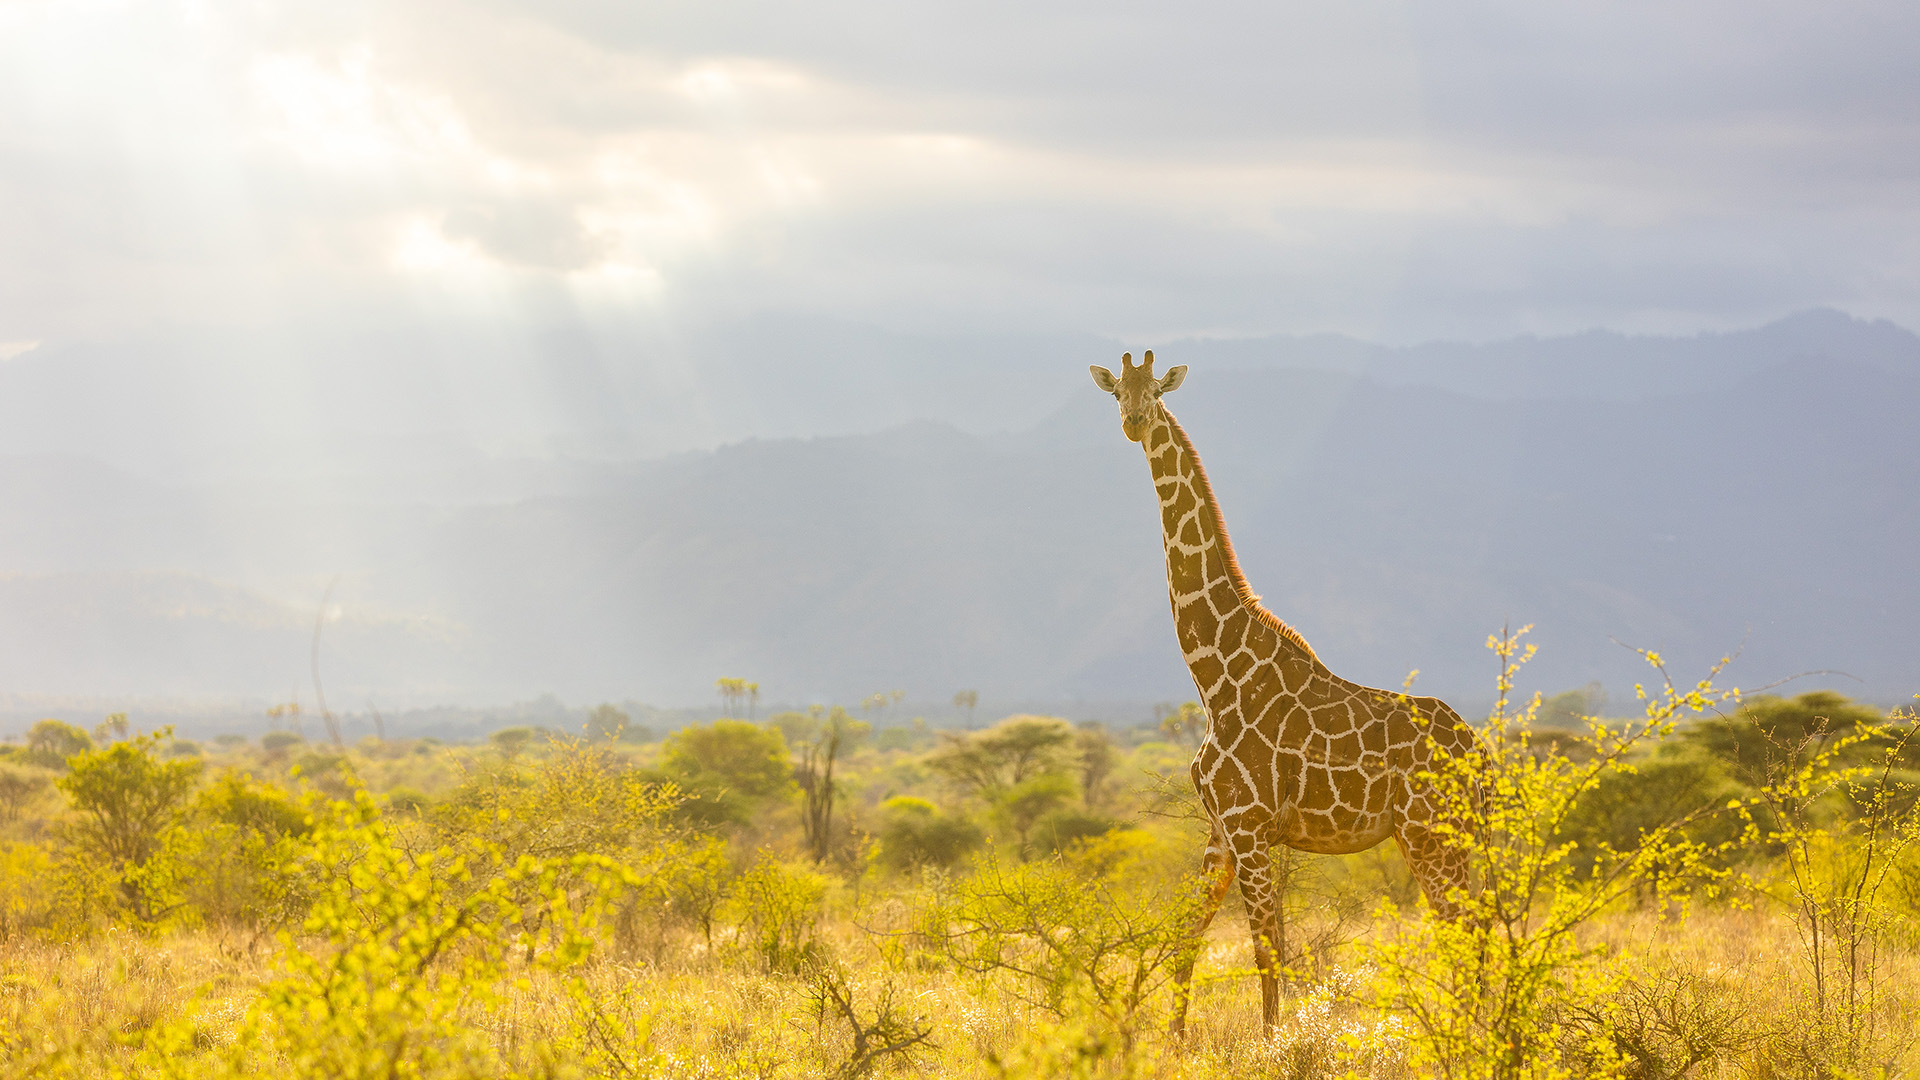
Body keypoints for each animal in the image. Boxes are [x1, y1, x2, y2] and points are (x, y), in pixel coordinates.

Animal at [1090, 351, 1474, 1022]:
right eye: (1117, 392)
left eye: (1155, 392)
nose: (1134, 423)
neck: (1214, 678)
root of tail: (1483, 752)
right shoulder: (1221, 830)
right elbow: (1187, 938)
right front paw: (1170, 1038)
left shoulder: (1248, 827)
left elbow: (1268, 949)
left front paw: (1274, 1039)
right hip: (1456, 837)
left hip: (1431, 833)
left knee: (1466, 930)